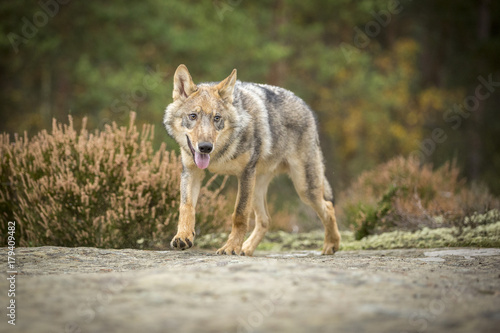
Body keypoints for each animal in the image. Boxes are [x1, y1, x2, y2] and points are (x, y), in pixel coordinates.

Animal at [164, 65, 340, 256]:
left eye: (217, 118)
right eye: (193, 116)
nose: (205, 147)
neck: (219, 154)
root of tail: (306, 106)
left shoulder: (245, 173)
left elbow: (239, 215)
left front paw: (231, 247)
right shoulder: (191, 172)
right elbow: (186, 207)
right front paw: (183, 236)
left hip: (303, 189)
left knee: (328, 207)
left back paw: (331, 245)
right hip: (257, 188)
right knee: (266, 220)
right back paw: (246, 249)